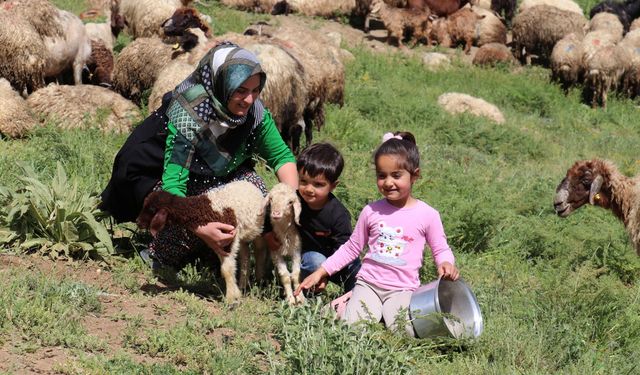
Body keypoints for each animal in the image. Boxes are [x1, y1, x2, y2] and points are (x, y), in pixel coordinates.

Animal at [138, 181, 268, 304]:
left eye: (151, 209)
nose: (138, 222)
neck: (206, 209)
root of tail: (249, 184)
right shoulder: (218, 241)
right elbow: (227, 268)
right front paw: (235, 294)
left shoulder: (228, 239)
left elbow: (227, 269)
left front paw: (231, 299)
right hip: (242, 235)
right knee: (246, 255)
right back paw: (243, 285)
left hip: (258, 228)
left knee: (259, 250)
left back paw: (259, 280)